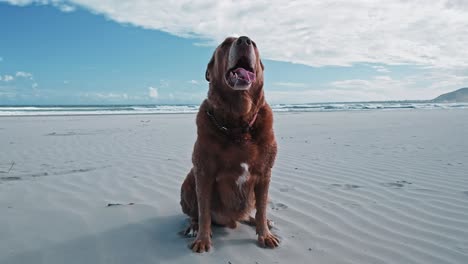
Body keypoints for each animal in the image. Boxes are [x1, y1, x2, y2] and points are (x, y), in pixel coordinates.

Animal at [180, 36, 278, 253]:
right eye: (225, 44)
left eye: (254, 44)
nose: (245, 40)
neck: (238, 125)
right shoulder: (203, 172)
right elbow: (204, 211)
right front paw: (202, 239)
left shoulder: (265, 174)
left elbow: (262, 208)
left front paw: (264, 234)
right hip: (189, 181)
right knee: (196, 213)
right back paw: (193, 227)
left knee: (254, 210)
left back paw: (261, 222)